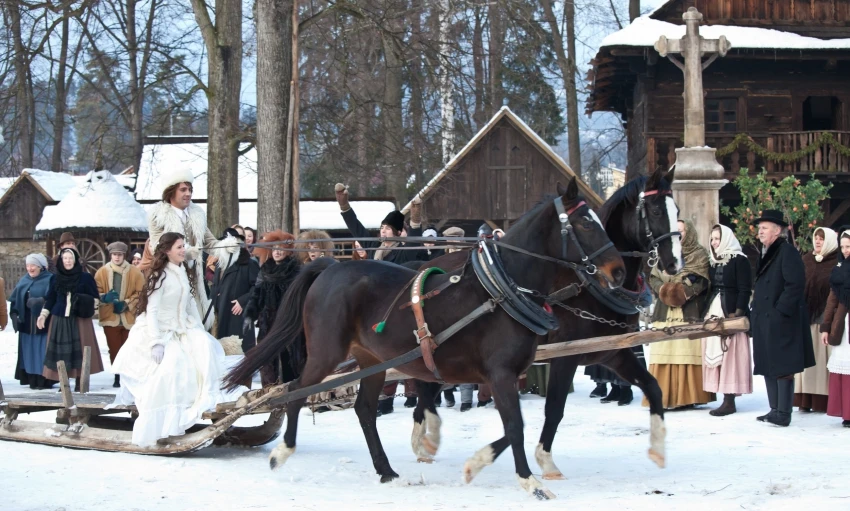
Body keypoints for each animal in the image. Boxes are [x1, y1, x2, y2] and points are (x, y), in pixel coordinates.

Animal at [224, 178, 624, 498]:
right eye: (585, 222)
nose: (618, 270)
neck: (501, 292)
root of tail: (330, 267)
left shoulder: (498, 376)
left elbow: (512, 427)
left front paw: (474, 463)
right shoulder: (500, 374)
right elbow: (516, 426)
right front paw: (530, 481)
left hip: (372, 360)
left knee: (364, 410)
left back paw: (385, 470)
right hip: (326, 353)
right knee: (296, 390)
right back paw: (283, 452)